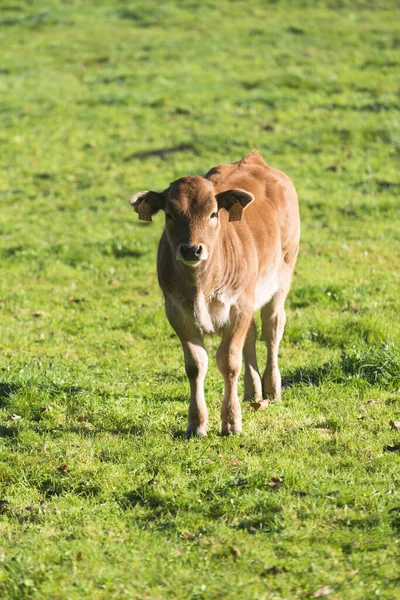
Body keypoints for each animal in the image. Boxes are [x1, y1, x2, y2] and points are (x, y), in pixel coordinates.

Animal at [131, 150, 300, 436]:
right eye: (169, 215)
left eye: (212, 214)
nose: (191, 249)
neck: (200, 285)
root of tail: (254, 159)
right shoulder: (177, 312)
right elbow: (196, 365)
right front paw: (196, 423)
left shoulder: (238, 307)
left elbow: (229, 362)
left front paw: (231, 421)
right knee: (252, 334)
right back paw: (253, 391)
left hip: (282, 277)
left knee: (272, 327)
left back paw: (272, 387)